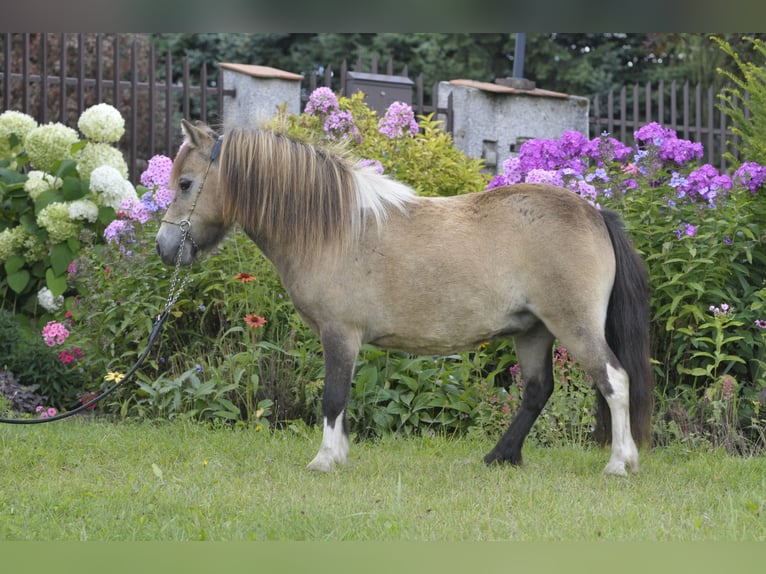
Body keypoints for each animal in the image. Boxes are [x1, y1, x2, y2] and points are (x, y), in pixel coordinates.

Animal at [156, 120, 656, 476]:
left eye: (185, 183)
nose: (164, 247)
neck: (333, 228)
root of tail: (595, 212)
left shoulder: (340, 334)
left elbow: (333, 397)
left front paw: (324, 460)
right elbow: (343, 399)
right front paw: (340, 455)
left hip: (573, 325)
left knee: (615, 380)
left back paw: (620, 463)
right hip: (533, 332)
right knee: (537, 391)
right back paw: (500, 457)